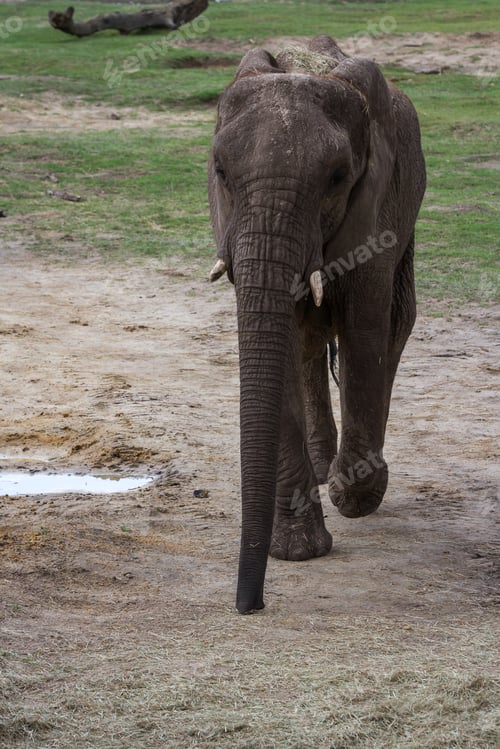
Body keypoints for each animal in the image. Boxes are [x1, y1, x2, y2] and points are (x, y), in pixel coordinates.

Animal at [207, 35, 426, 614]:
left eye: (336, 179)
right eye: (220, 172)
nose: (251, 605)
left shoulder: (377, 204)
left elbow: (365, 329)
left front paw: (355, 496)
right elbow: (279, 338)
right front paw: (298, 551)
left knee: (396, 322)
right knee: (307, 337)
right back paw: (324, 463)